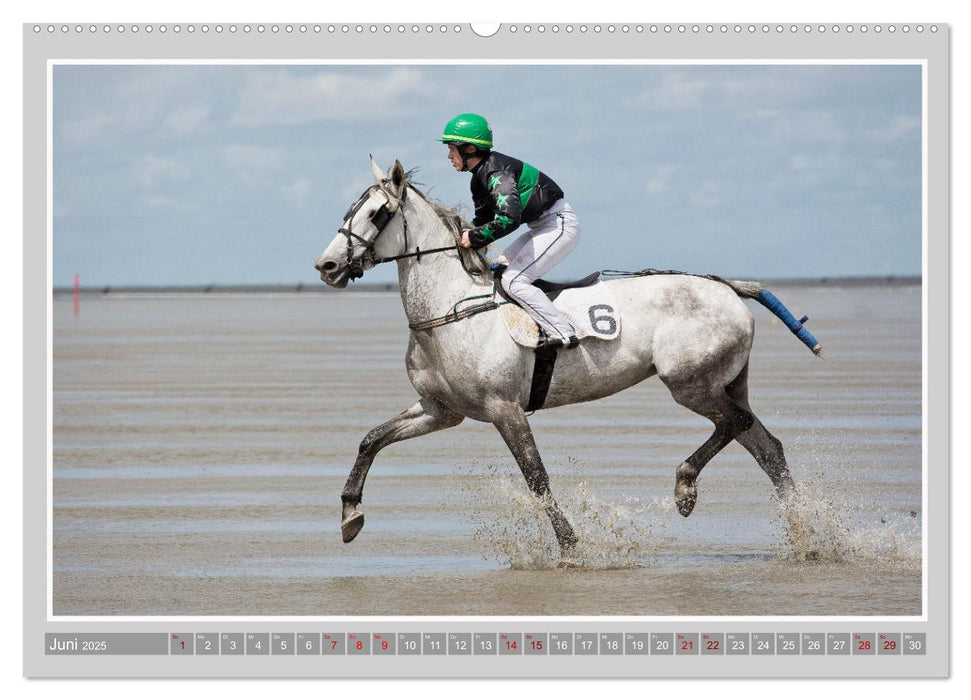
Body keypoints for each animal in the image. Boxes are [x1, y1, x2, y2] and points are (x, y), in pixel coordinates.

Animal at [318, 159, 812, 564]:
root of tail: (729, 287)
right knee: (766, 446)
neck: (451, 309)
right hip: (724, 383)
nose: (326, 266)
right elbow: (371, 439)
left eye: (377, 213)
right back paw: (805, 537)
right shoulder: (442, 411)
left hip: (691, 383)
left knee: (735, 425)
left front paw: (571, 547)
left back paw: (686, 487)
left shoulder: (505, 409)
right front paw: (350, 514)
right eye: (348, 211)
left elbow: (536, 477)